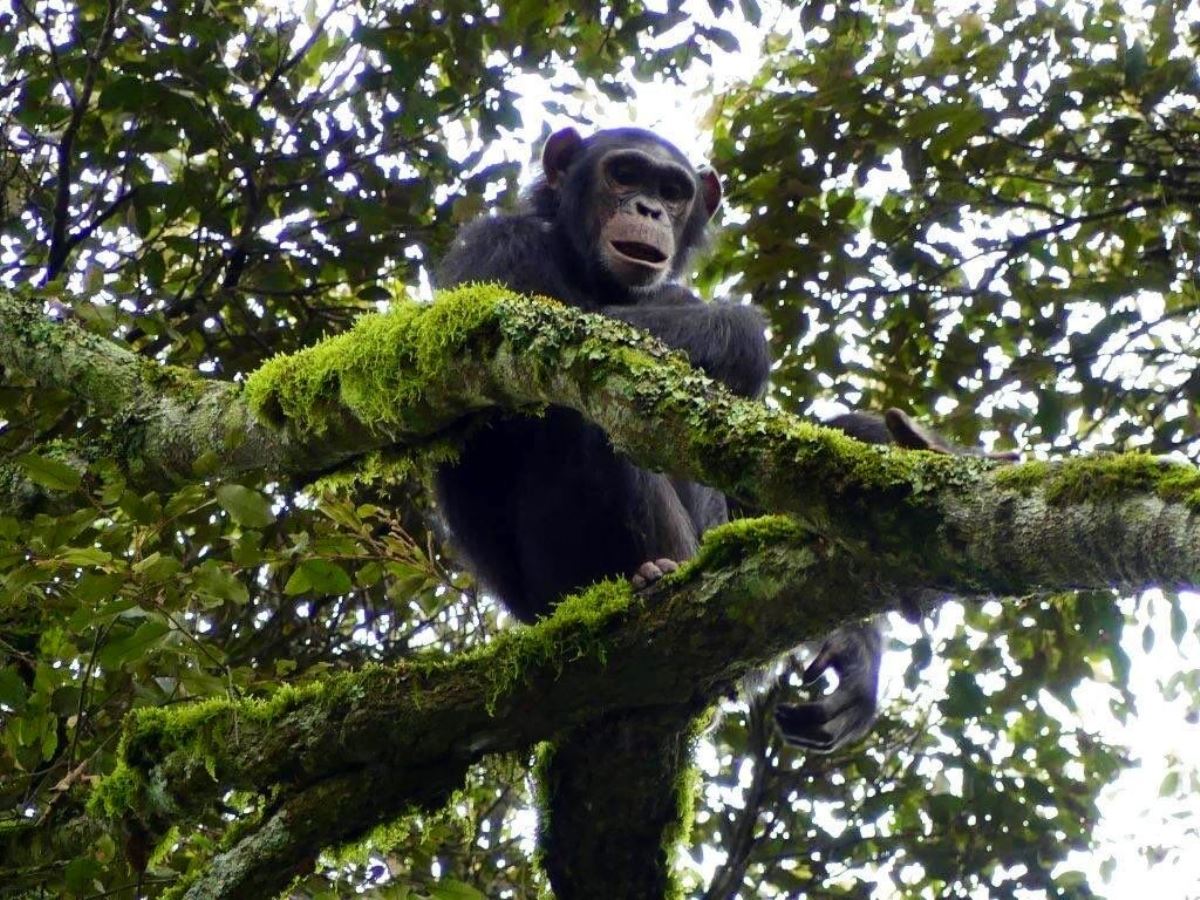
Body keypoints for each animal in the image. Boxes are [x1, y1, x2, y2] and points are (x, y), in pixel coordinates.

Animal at [439, 123, 916, 748]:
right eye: (623, 175)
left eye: (671, 191)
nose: (647, 209)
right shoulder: (493, 245)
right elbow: (539, 327)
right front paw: (744, 330)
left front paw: (860, 647)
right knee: (593, 416)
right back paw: (657, 576)